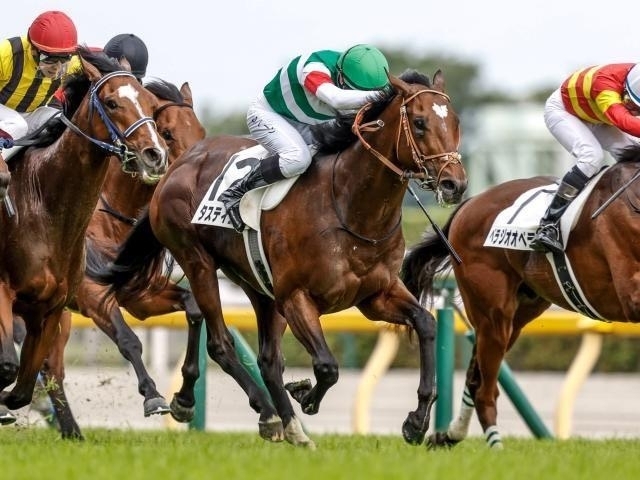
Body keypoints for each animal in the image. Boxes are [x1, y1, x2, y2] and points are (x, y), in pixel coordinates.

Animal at [0, 46, 168, 420]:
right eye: (111, 102)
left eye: (151, 104)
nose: (155, 155)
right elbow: (8, 366)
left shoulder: (51, 308)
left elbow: (24, 385)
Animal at [29, 79, 205, 438]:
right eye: (167, 133)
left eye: (200, 131)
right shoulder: (92, 293)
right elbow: (128, 339)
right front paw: (153, 396)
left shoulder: (141, 295)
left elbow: (194, 308)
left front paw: (184, 399)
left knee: (51, 365)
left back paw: (71, 431)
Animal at [90, 68, 468, 446]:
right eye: (419, 122)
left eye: (456, 121)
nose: (455, 184)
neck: (350, 206)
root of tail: (178, 166)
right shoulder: (296, 296)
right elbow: (327, 366)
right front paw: (306, 396)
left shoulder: (376, 294)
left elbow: (426, 323)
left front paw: (416, 421)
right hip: (199, 263)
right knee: (221, 343)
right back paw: (264, 414)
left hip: (257, 283)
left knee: (268, 359)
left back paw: (284, 424)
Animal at [402, 143, 640, 450]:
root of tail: (471, 202)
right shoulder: (631, 293)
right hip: (493, 314)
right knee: (485, 390)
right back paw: (495, 446)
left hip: (518, 314)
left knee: (475, 379)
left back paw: (449, 435)